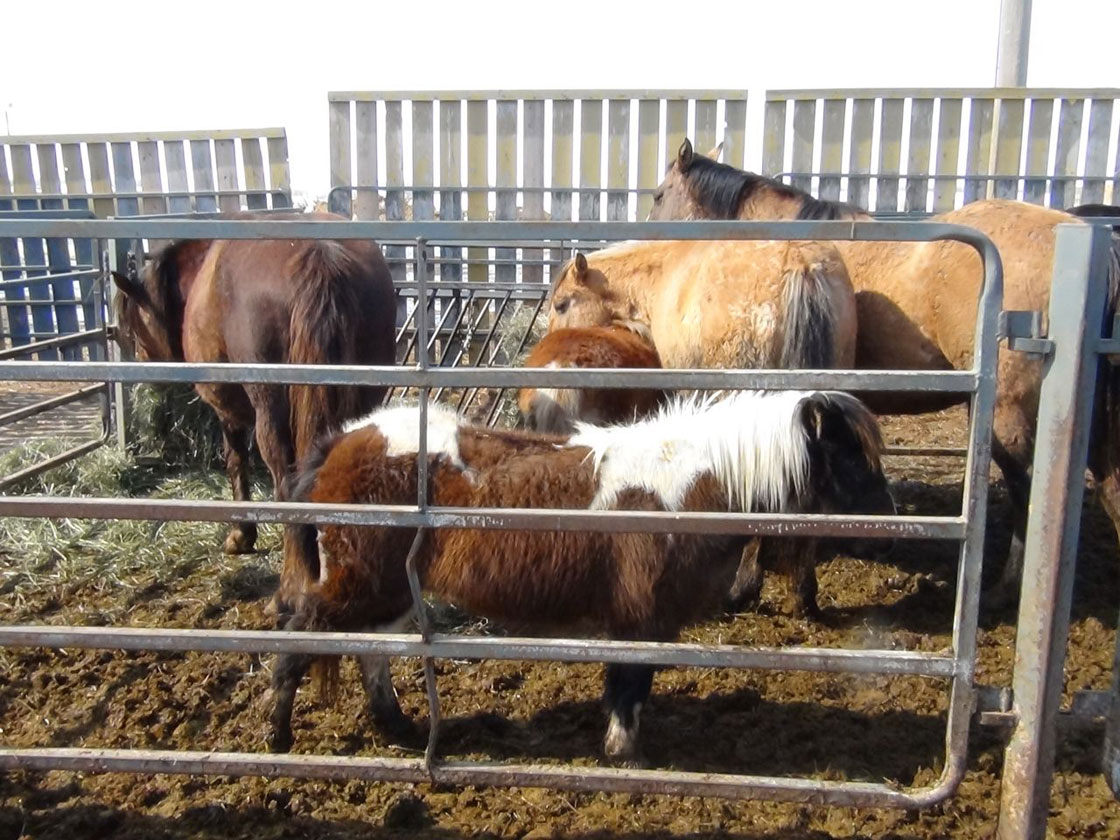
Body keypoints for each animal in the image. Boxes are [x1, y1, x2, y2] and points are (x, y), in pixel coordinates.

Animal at [112, 211, 397, 619]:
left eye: (134, 324)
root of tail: (319, 255)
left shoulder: (227, 410)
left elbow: (235, 462)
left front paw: (240, 535)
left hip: (272, 414)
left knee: (286, 482)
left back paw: (288, 593)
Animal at [268, 389, 893, 761]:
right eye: (847, 456)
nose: (888, 524)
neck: (688, 488)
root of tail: (345, 439)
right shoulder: (640, 620)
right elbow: (629, 686)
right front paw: (623, 753)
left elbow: (628, 684)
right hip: (358, 585)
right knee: (300, 640)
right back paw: (278, 738)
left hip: (389, 590)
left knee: (370, 650)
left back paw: (398, 728)